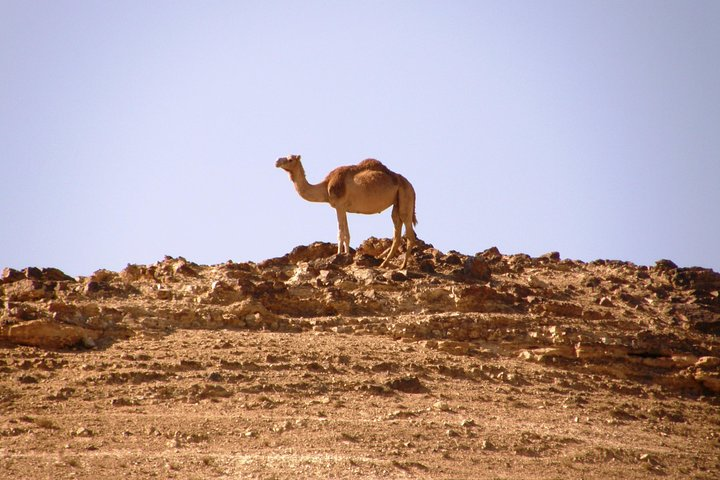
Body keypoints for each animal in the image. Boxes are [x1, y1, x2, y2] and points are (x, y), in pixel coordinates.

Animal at [276, 155, 417, 268]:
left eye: (290, 159)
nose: (276, 161)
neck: (325, 187)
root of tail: (410, 185)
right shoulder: (344, 208)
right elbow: (347, 234)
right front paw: (346, 255)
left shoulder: (339, 206)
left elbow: (341, 233)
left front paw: (338, 255)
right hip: (397, 202)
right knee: (397, 230)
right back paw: (384, 264)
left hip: (406, 196)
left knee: (409, 233)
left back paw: (402, 266)